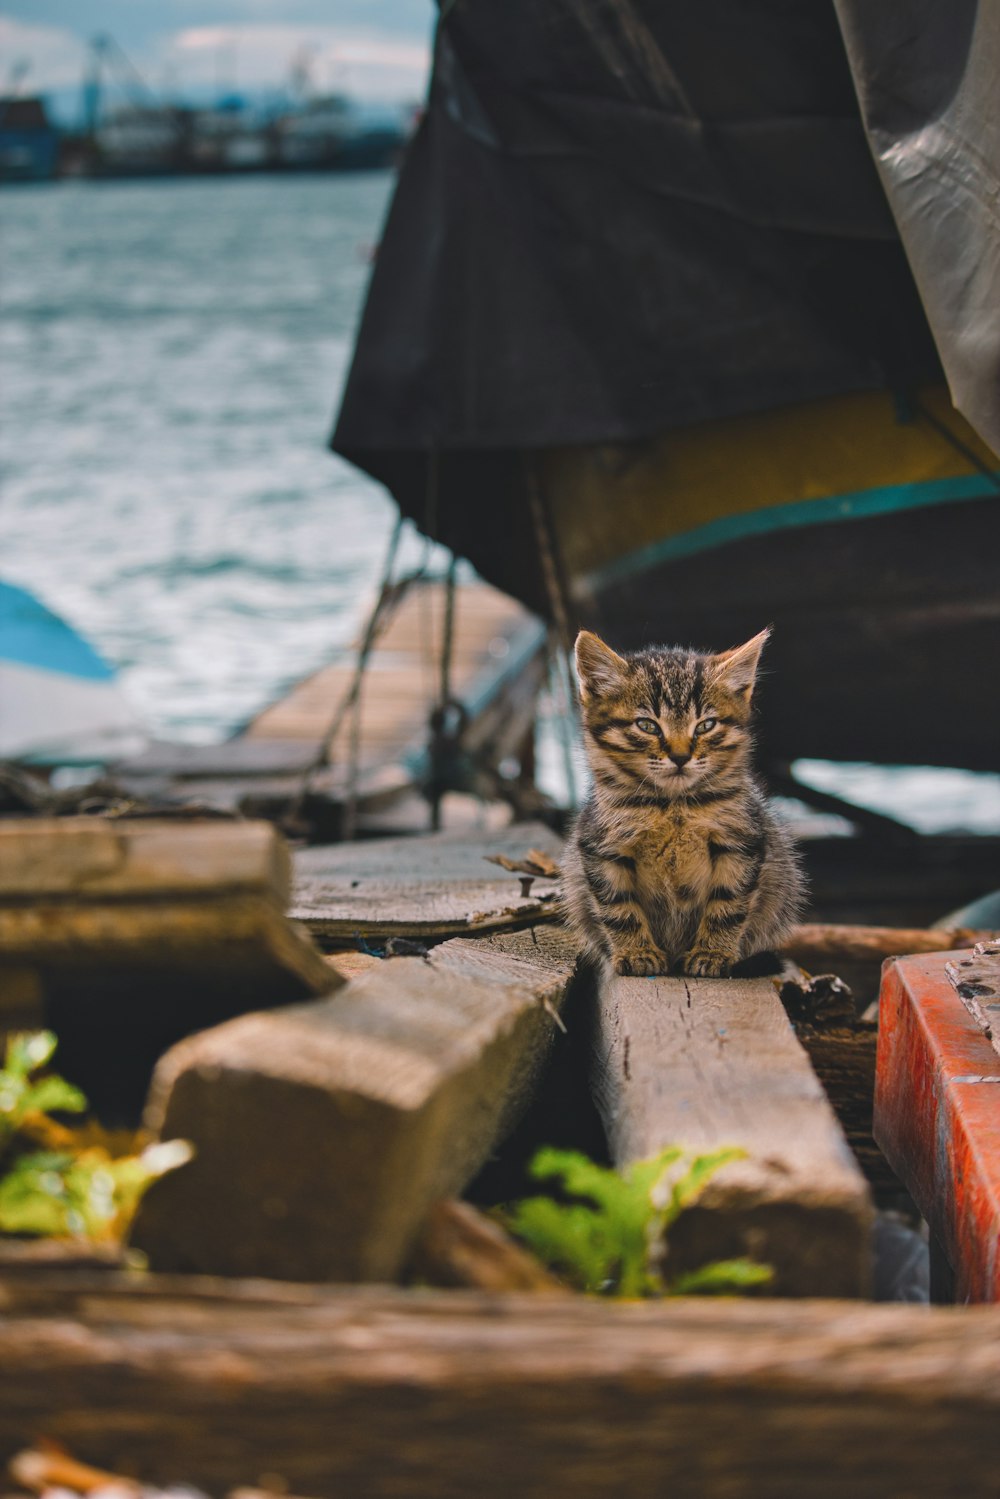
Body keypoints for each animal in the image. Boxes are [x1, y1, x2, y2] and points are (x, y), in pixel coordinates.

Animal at [563, 626, 803, 977]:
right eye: (647, 725)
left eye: (706, 725)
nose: (679, 757)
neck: (672, 805)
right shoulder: (602, 846)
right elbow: (618, 907)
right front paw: (637, 953)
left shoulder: (741, 840)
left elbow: (728, 904)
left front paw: (712, 953)